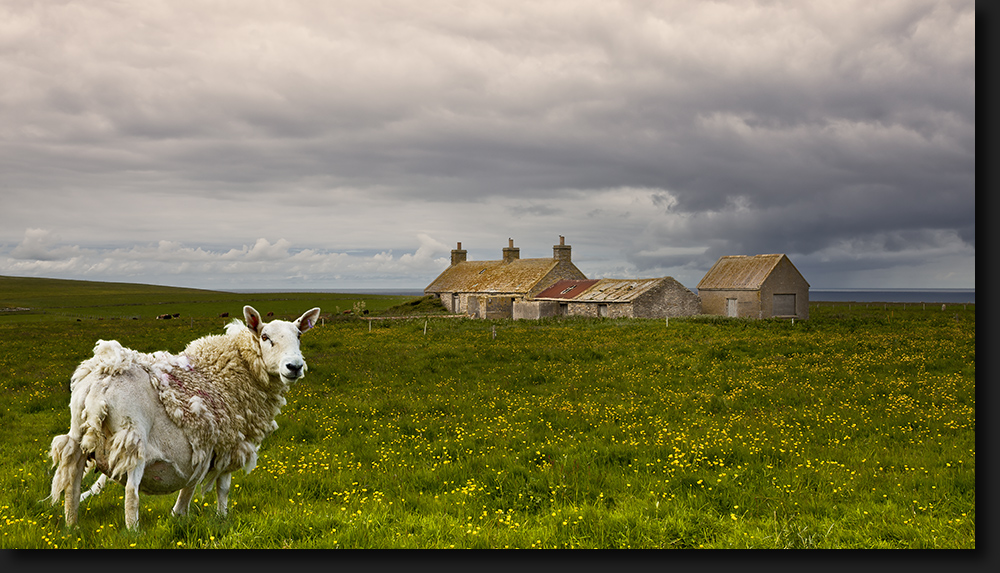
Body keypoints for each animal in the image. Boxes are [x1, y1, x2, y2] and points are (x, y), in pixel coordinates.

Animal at [47, 304, 320, 528]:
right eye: (265, 337)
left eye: (299, 336)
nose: (295, 367)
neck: (231, 371)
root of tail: (102, 380)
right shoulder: (229, 444)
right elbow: (222, 488)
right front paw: (222, 518)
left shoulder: (206, 446)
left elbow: (191, 485)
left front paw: (180, 515)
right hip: (133, 439)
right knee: (131, 493)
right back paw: (134, 532)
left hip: (78, 436)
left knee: (72, 485)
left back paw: (72, 527)